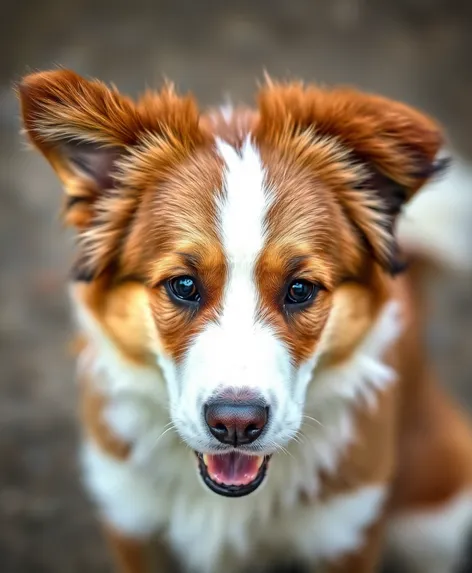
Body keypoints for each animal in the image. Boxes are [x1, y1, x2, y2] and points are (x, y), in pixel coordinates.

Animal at [18, 70, 472, 572]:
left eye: (300, 289)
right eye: (183, 285)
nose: (236, 424)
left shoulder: (346, 532)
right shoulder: (130, 518)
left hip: (434, 521)